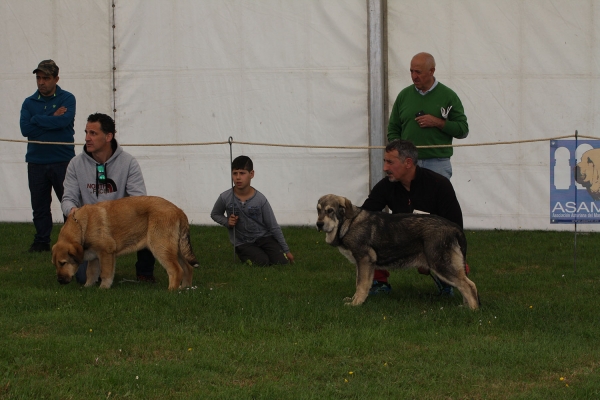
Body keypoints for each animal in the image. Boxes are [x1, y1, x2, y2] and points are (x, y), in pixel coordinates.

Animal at [52, 195, 198, 290]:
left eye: (63, 263)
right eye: (55, 265)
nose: (59, 280)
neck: (82, 226)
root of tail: (179, 211)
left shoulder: (106, 253)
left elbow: (105, 273)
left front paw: (103, 288)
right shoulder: (94, 257)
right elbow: (91, 273)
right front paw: (88, 286)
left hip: (161, 247)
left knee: (176, 270)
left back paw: (171, 291)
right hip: (177, 249)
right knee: (187, 267)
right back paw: (185, 287)